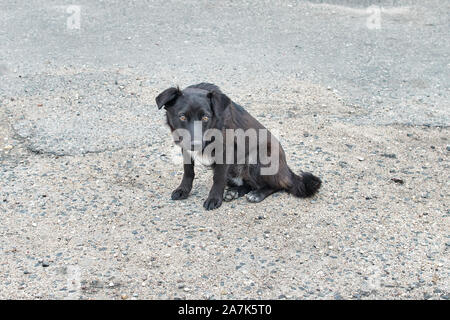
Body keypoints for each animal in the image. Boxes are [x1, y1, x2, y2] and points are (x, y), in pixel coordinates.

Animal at [156, 83, 322, 210]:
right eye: (182, 117)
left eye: (205, 117)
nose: (195, 144)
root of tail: (287, 170)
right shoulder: (185, 148)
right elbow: (188, 172)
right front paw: (183, 190)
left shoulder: (224, 152)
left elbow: (218, 178)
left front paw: (214, 198)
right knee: (249, 184)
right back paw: (235, 192)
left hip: (258, 157)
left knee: (279, 184)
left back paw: (257, 194)